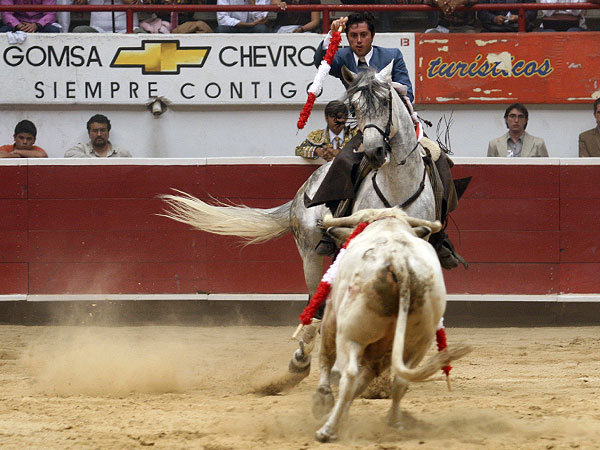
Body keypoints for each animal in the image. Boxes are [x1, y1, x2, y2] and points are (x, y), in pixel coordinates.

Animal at [161, 61, 436, 378]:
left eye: (386, 101)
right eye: (354, 107)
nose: (373, 151)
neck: (396, 183)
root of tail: (302, 190)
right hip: (309, 253)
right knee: (316, 301)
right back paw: (302, 358)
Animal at [311, 208, 471, 442]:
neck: (388, 224)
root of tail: (400, 263)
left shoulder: (331, 318)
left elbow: (326, 358)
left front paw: (323, 402)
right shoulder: (380, 354)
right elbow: (364, 383)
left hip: (352, 335)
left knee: (348, 375)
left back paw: (326, 430)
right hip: (417, 343)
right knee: (400, 382)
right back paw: (394, 423)